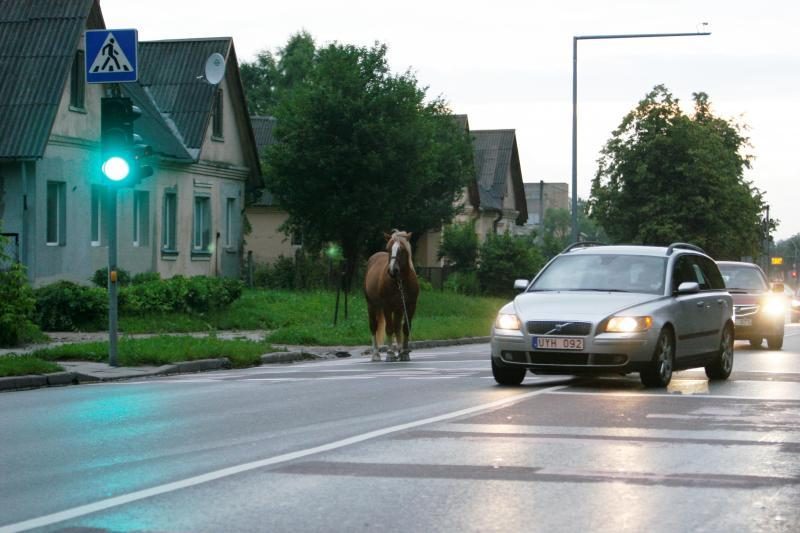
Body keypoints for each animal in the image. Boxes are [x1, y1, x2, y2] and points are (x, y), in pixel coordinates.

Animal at [366, 230, 422, 362]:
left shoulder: (410, 306)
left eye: (402, 249)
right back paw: (376, 354)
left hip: (398, 309)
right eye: (388, 249)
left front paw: (405, 353)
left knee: (397, 326)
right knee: (373, 326)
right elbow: (389, 328)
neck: (400, 281)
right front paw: (390, 353)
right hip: (371, 305)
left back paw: (400, 351)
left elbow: (405, 328)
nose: (392, 270)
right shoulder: (387, 306)